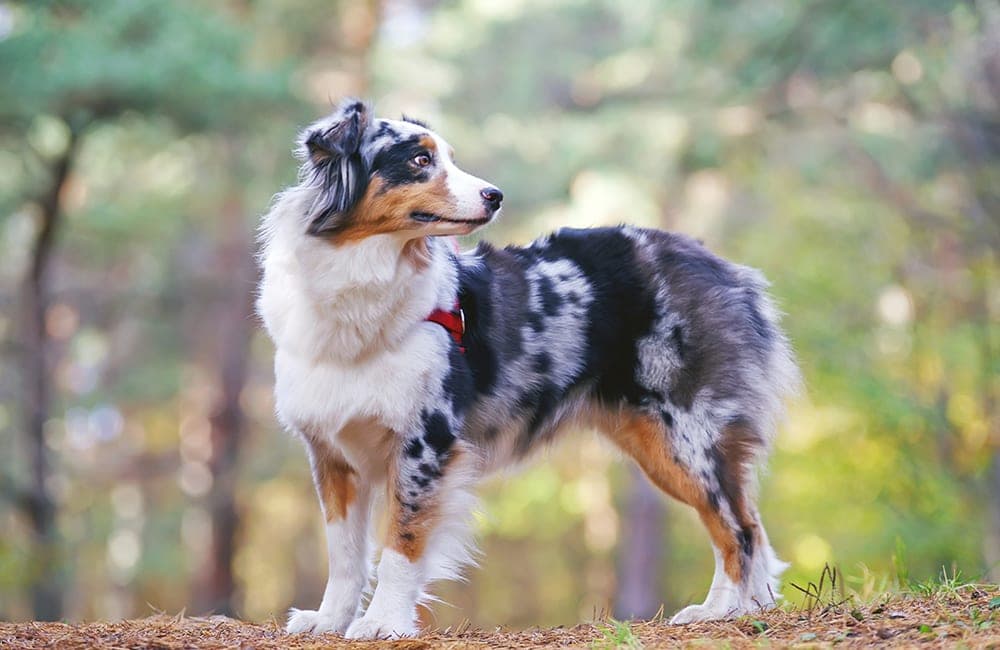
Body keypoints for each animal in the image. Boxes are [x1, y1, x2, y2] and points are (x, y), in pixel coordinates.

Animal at [256, 98, 796, 636]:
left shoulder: (426, 442)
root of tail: (722, 267)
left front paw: (383, 623)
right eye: (420, 160)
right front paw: (330, 620)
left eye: (449, 158)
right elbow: (345, 553)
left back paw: (721, 611)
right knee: (744, 523)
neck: (362, 277)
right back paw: (741, 608)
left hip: (686, 434)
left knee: (739, 528)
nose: (495, 196)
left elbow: (401, 543)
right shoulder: (332, 452)